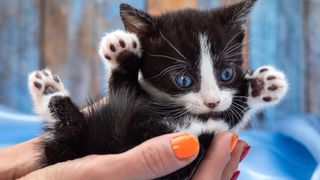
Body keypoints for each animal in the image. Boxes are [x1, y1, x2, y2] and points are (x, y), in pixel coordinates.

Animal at [27, 0, 288, 179]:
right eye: (183, 80)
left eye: (227, 74)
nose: (211, 102)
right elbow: (120, 87)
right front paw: (122, 52)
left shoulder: (213, 132)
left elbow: (230, 113)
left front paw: (261, 85)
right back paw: (49, 91)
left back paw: (49, 91)